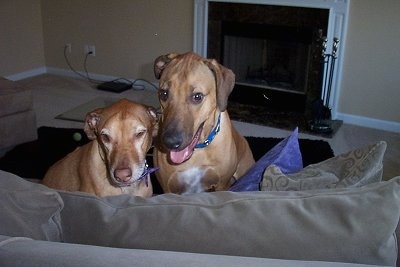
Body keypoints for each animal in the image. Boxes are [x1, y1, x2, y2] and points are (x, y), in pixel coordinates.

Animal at [152, 51, 255, 195]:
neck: (198, 151)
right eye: (164, 94)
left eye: (197, 96)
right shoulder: (168, 188)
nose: (170, 142)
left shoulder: (222, 184)